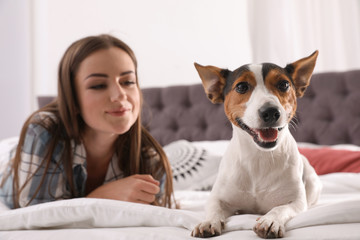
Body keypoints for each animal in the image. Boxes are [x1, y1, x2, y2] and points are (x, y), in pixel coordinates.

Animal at [191, 50, 324, 238]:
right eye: (241, 87)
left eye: (284, 84)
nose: (271, 112)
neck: (259, 156)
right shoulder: (217, 197)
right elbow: (214, 208)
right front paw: (209, 222)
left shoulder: (296, 201)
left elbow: (280, 208)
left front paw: (270, 221)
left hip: (312, 181)